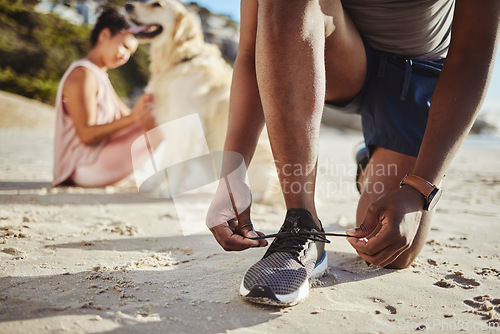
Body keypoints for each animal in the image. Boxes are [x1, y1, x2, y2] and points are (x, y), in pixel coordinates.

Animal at [125, 0, 282, 205]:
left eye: (157, 5)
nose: (127, 5)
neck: (180, 59)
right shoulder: (173, 124)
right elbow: (168, 160)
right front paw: (154, 184)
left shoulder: (188, 126)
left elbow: (176, 162)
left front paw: (168, 191)